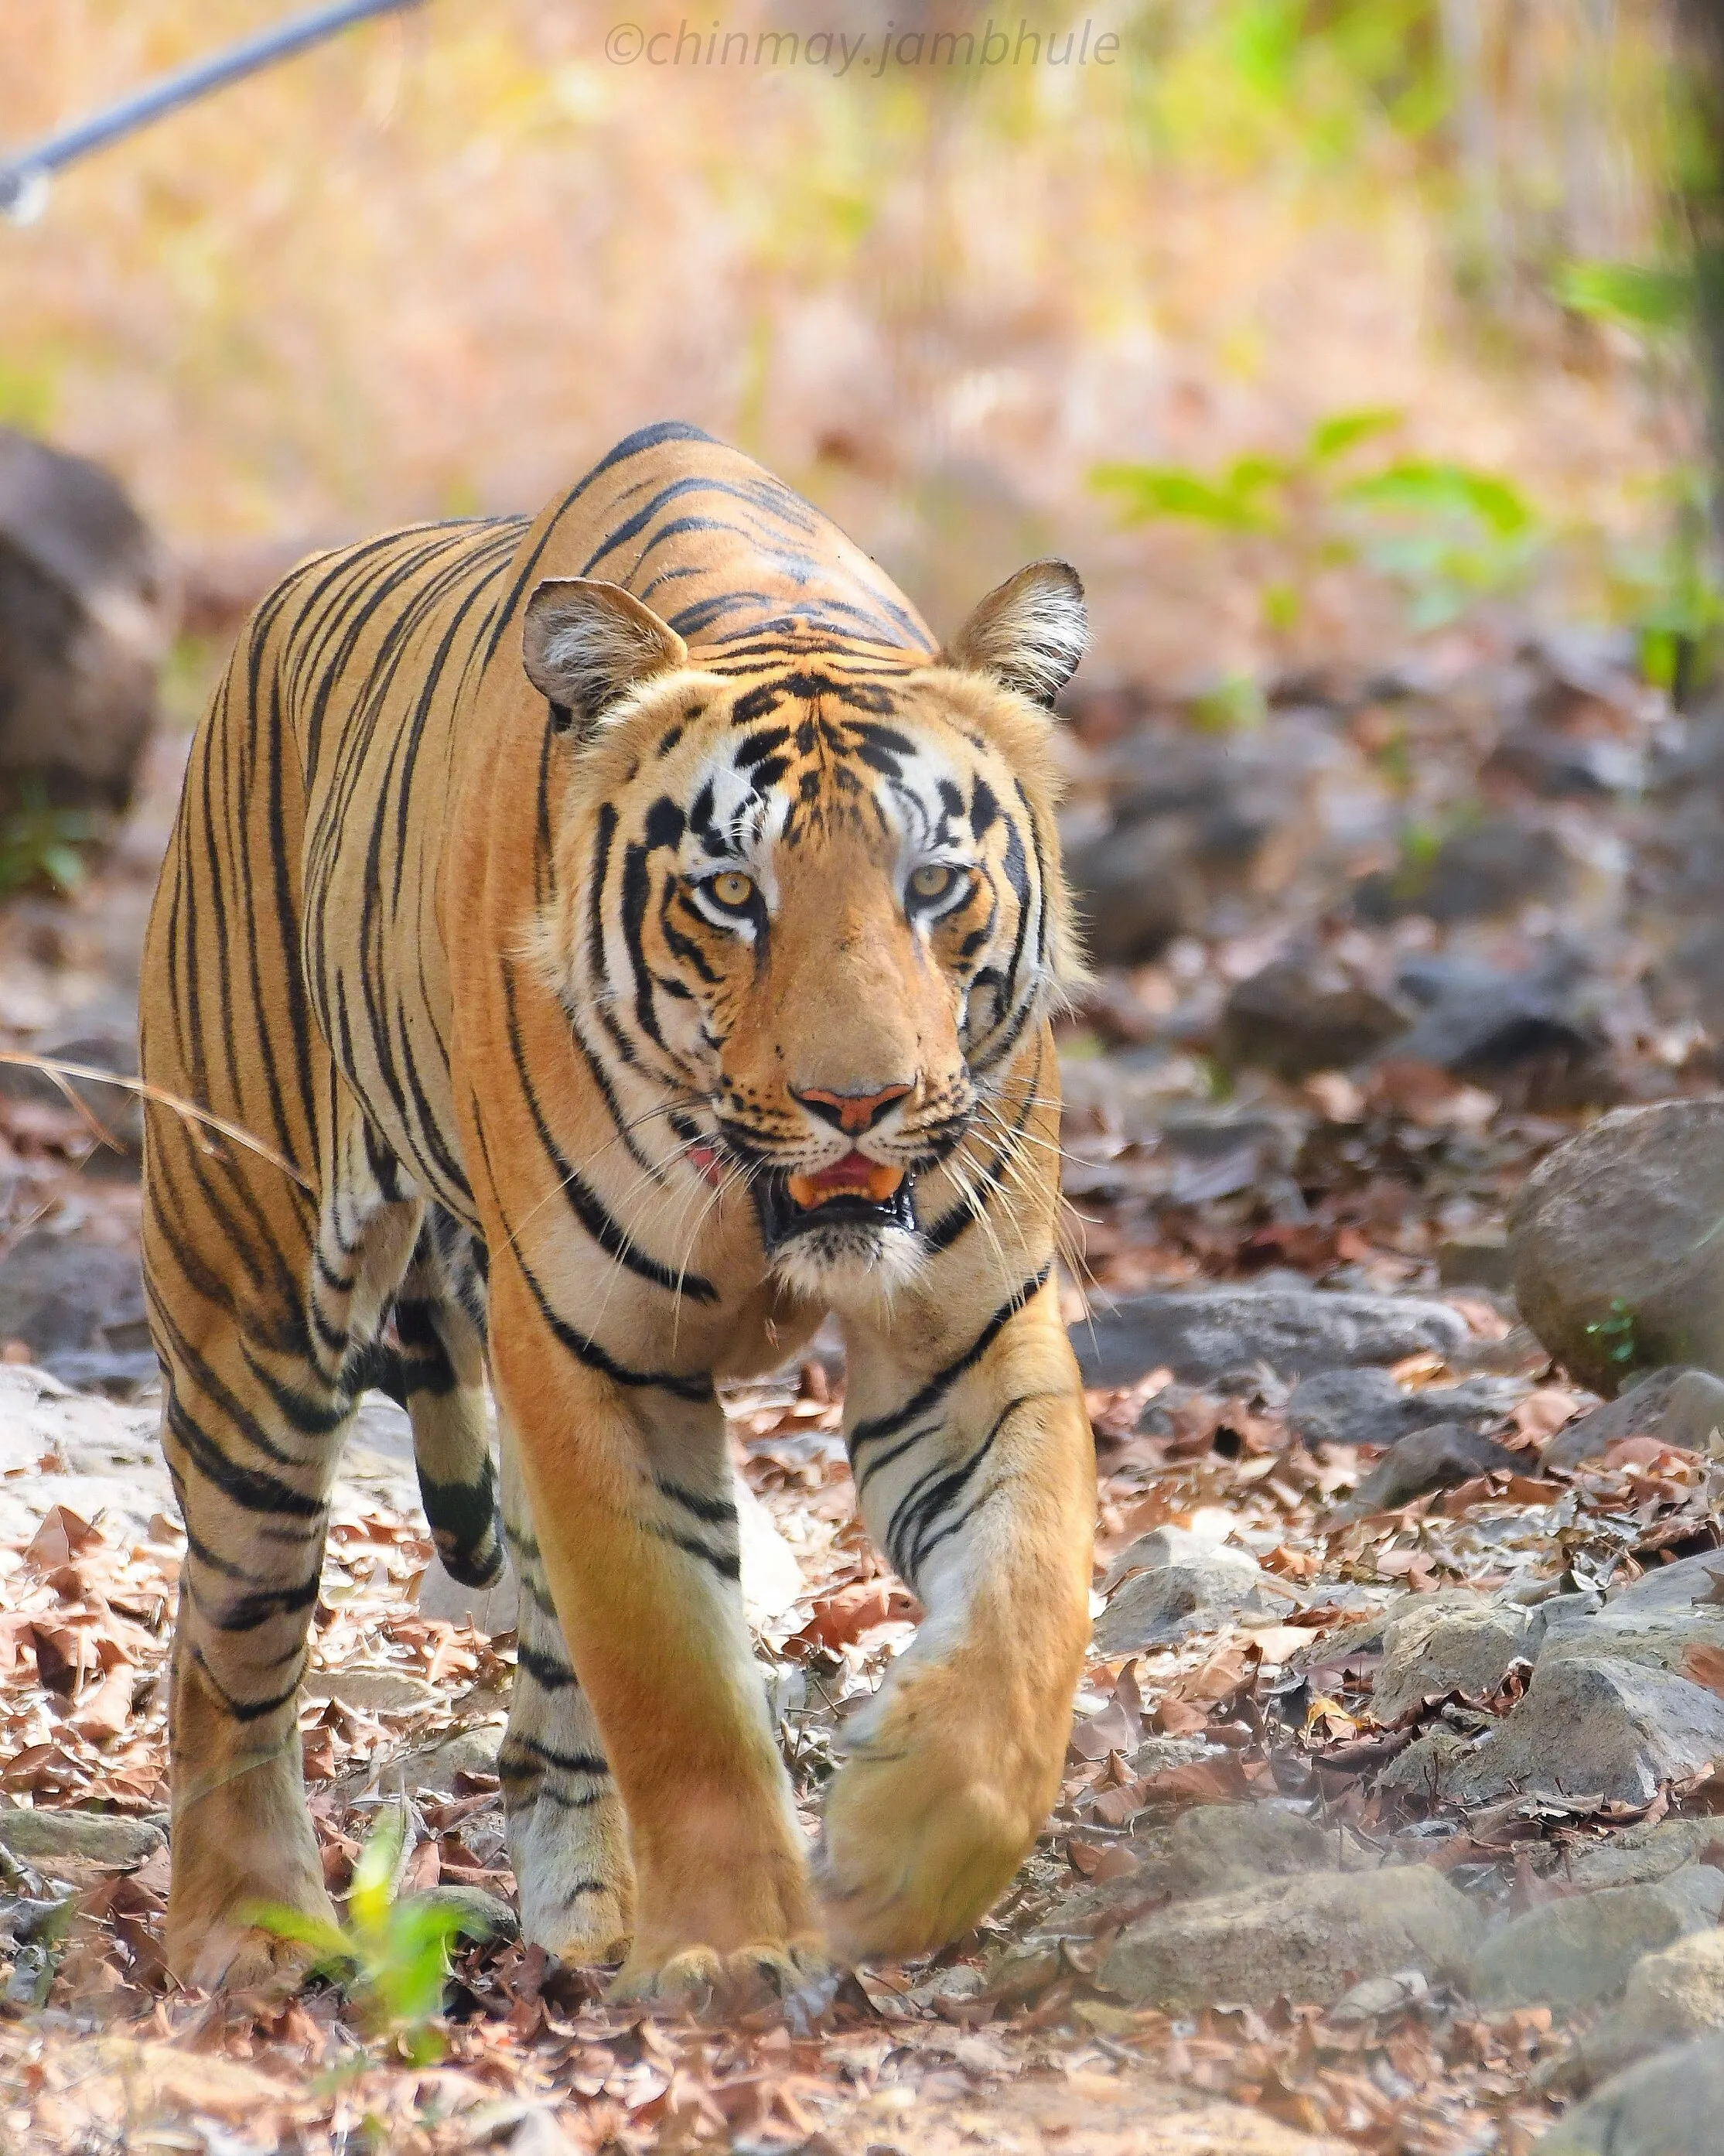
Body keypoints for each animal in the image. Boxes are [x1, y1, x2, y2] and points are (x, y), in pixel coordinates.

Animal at [139, 419, 1096, 2010]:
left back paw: (584, 1913)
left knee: (538, 1704)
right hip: (245, 1298)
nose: (858, 1102)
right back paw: (250, 1931)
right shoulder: (594, 1359)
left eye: (933, 884)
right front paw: (730, 1946)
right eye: (730, 893)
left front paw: (895, 1851)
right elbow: (676, 1680)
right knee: (230, 1642)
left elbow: (1029, 1601)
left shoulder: (972, 1337)